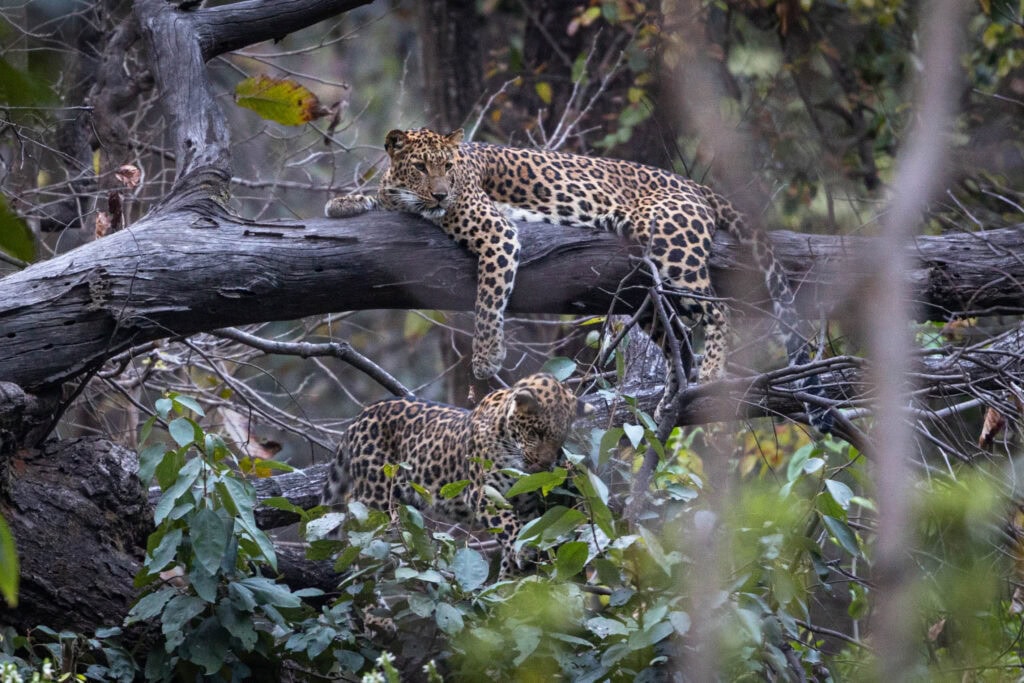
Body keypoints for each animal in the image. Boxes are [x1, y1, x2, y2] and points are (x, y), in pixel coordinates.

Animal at [320, 373, 588, 578]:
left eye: (561, 438)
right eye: (536, 433)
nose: (544, 465)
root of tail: (358, 418)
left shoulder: (527, 506)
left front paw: (507, 582)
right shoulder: (482, 494)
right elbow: (509, 525)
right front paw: (523, 551)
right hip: (375, 496)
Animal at [326, 128, 832, 433]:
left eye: (447, 167)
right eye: (421, 167)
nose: (440, 194)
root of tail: (694, 185)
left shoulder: (495, 230)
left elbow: (489, 297)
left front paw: (486, 359)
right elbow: (379, 194)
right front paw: (345, 202)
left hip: (673, 248)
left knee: (716, 309)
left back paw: (708, 375)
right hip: (643, 286)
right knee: (676, 333)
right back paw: (671, 395)